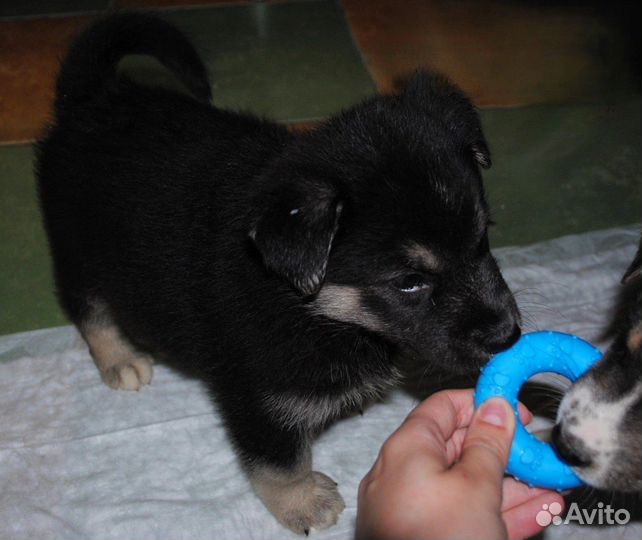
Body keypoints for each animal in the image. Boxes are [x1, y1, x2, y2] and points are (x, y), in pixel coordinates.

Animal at [37, 13, 520, 536]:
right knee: (89, 310)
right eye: (408, 282)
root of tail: (93, 96)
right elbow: (281, 462)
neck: (305, 300)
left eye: (482, 240)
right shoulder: (259, 396)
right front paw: (303, 502)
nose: (508, 336)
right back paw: (120, 359)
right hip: (77, 253)